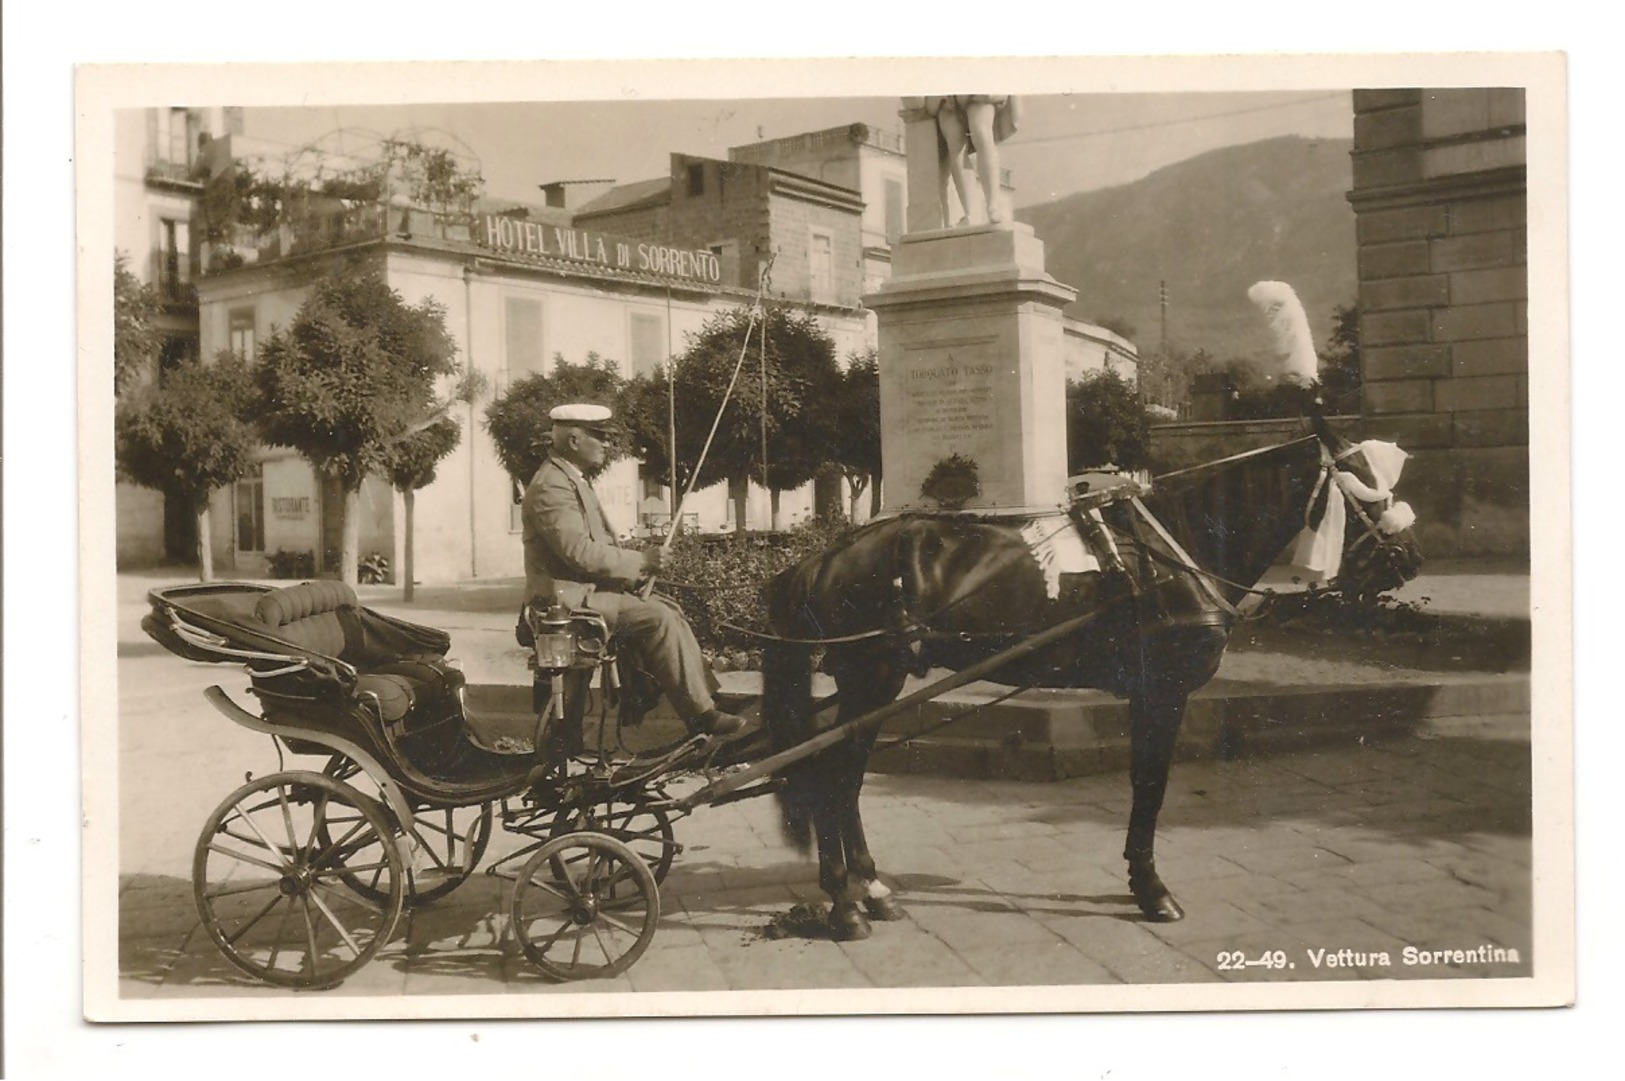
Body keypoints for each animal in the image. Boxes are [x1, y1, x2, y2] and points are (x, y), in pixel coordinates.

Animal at [760, 412, 1423, 936]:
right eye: (1364, 484)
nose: (1411, 558)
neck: (1173, 548)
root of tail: (823, 556)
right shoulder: (1162, 690)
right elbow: (1150, 786)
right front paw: (1151, 889)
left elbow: (1144, 784)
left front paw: (1140, 879)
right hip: (871, 676)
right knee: (834, 776)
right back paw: (845, 902)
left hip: (871, 683)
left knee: (842, 778)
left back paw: (870, 890)